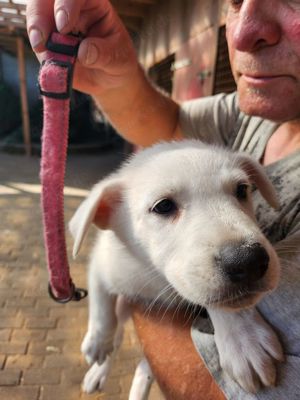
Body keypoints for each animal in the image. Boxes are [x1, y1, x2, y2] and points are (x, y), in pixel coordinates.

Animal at [69, 140, 284, 396]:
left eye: (242, 190)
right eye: (163, 206)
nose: (248, 261)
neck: (157, 278)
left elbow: (223, 303)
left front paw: (244, 338)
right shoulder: (104, 263)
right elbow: (102, 304)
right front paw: (98, 341)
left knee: (144, 365)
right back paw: (99, 369)